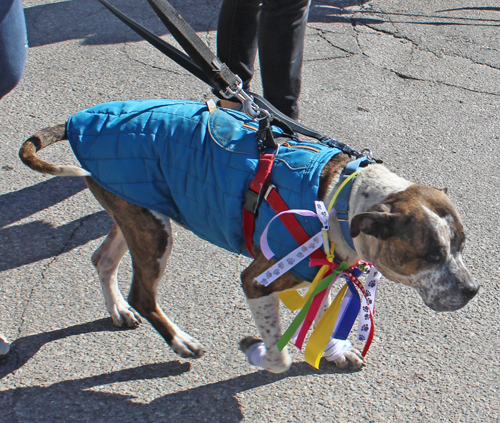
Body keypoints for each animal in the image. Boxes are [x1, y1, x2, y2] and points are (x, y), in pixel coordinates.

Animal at [19, 99, 480, 374]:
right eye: (431, 255)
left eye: (460, 246)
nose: (472, 290)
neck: (341, 198)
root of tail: (81, 119)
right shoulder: (258, 279)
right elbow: (279, 355)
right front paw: (259, 353)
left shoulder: (327, 270)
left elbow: (323, 314)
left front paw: (333, 350)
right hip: (153, 231)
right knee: (144, 294)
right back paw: (179, 340)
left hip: (135, 209)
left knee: (103, 259)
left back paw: (117, 309)